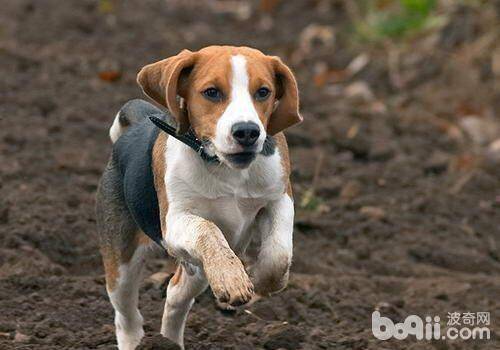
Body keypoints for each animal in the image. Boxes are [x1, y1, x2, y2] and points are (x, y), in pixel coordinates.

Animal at [96, 45, 302, 348]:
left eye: (263, 92)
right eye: (212, 92)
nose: (247, 131)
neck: (224, 167)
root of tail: (136, 125)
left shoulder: (279, 197)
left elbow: (279, 254)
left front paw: (262, 282)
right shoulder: (175, 221)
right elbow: (207, 228)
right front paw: (232, 279)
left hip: (198, 270)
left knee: (175, 293)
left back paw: (170, 340)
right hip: (121, 260)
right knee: (127, 316)